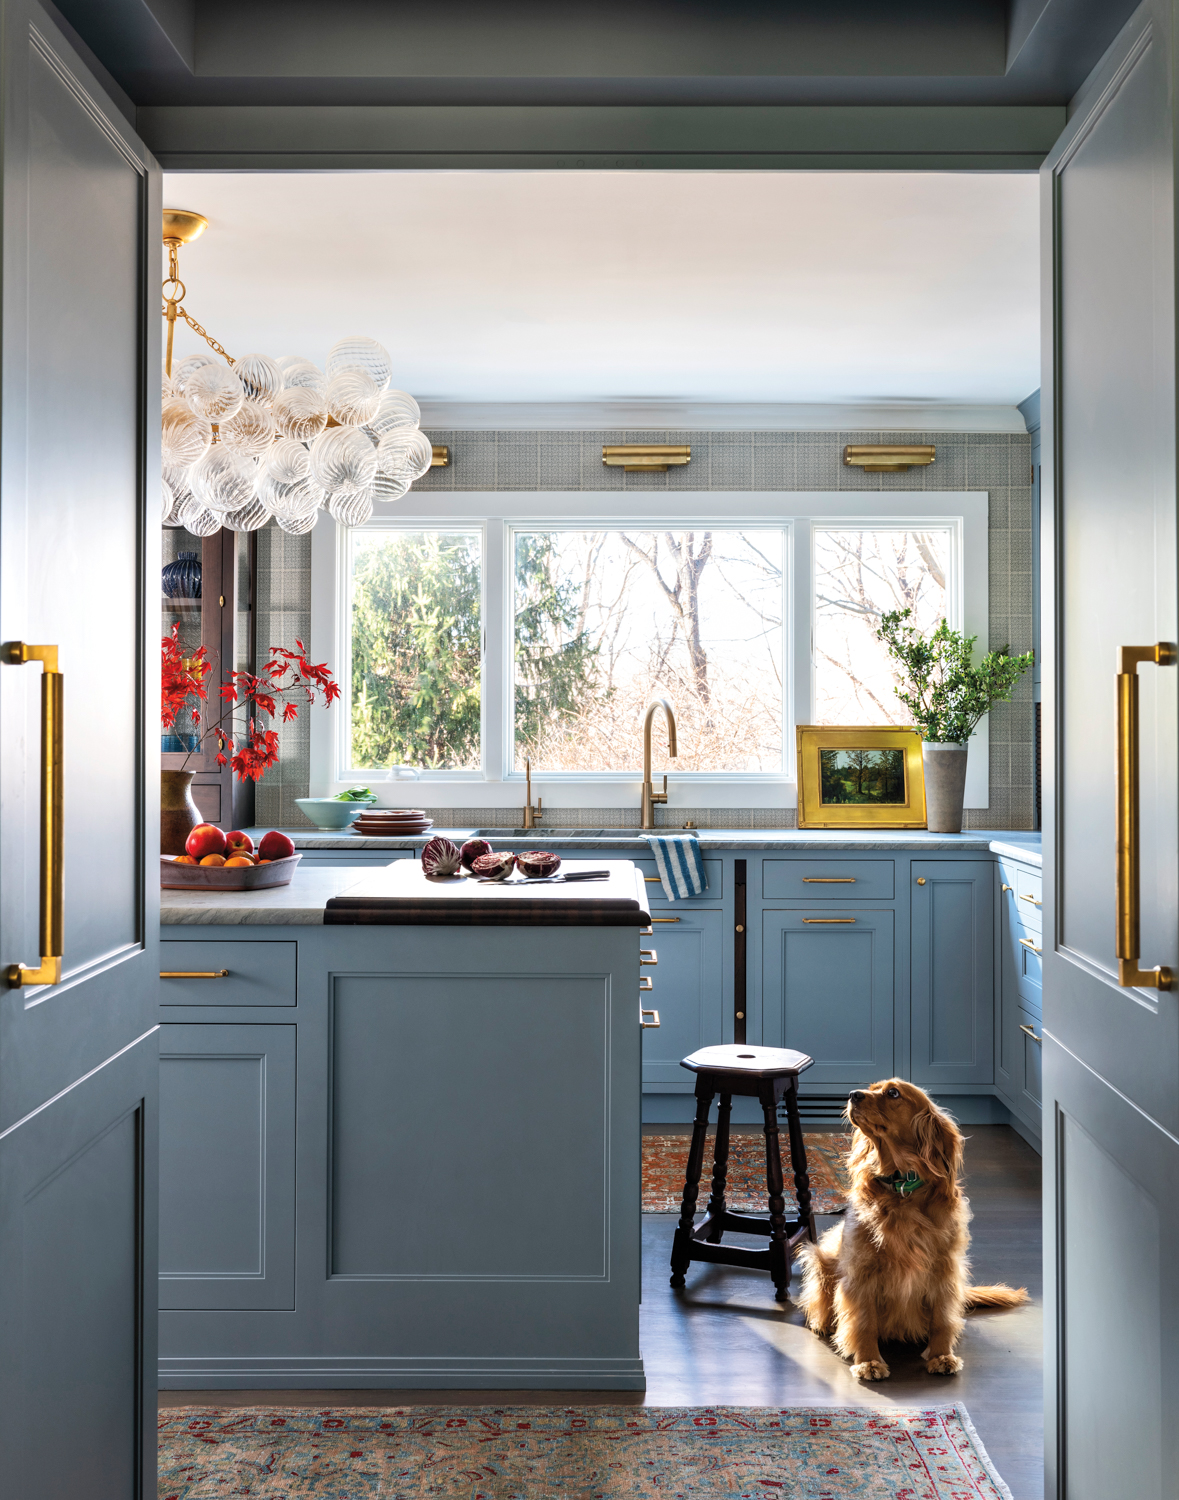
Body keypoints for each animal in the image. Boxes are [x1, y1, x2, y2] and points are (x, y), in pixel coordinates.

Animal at [792, 1080, 1026, 1380]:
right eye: (872, 1087)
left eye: (893, 1093)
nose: (852, 1094)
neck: (902, 1187)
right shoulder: (861, 1272)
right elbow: (863, 1322)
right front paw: (869, 1361)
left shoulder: (944, 1269)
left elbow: (942, 1319)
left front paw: (941, 1355)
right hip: (821, 1258)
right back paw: (823, 1323)